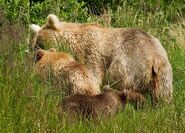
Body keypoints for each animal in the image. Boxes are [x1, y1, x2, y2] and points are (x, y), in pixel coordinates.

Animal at [30, 14, 173, 104]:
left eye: (39, 43)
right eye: (35, 43)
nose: (35, 52)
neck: (73, 42)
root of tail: (154, 58)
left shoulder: (92, 54)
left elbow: (92, 75)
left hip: (128, 64)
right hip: (164, 73)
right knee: (162, 94)